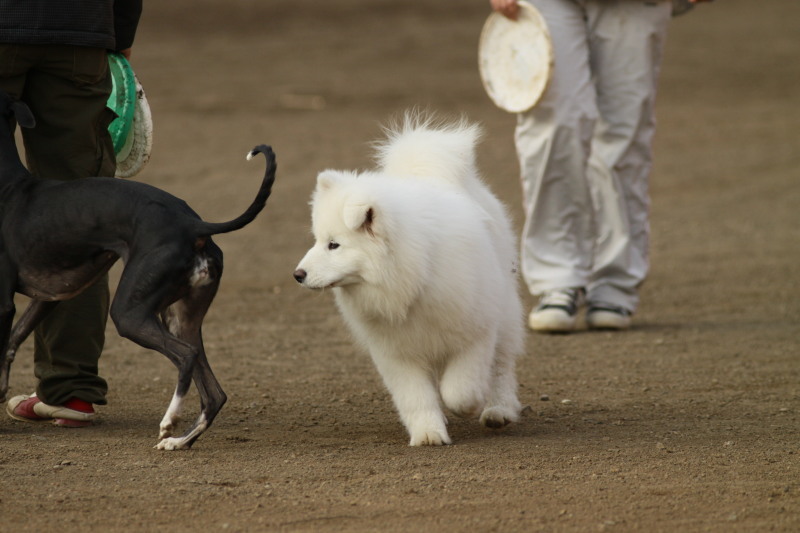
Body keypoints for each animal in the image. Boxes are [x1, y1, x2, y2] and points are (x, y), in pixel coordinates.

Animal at [0, 92, 276, 448]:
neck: (8, 186)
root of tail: (193, 223)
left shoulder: (4, 302)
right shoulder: (49, 297)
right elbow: (11, 343)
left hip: (130, 313)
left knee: (185, 357)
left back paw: (169, 422)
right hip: (180, 319)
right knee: (214, 392)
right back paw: (178, 441)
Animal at [294, 115, 524, 444]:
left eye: (334, 245)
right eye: (317, 240)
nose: (297, 275)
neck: (414, 279)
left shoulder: (475, 333)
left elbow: (460, 389)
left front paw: (467, 407)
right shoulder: (397, 353)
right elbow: (416, 397)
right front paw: (429, 434)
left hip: (504, 314)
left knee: (502, 367)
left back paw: (498, 410)